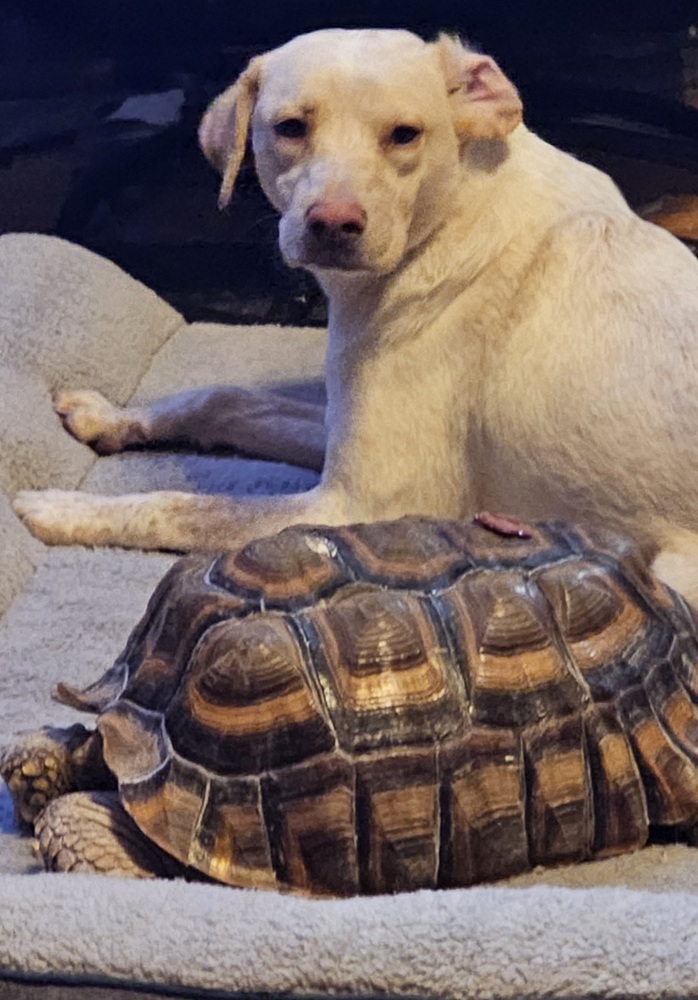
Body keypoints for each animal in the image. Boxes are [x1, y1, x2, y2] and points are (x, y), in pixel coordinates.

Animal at [12, 31, 698, 604]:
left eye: (405, 134)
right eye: (290, 127)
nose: (333, 223)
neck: (451, 217)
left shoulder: (355, 503)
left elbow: (184, 506)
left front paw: (64, 510)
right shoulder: (336, 439)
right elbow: (225, 399)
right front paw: (110, 418)